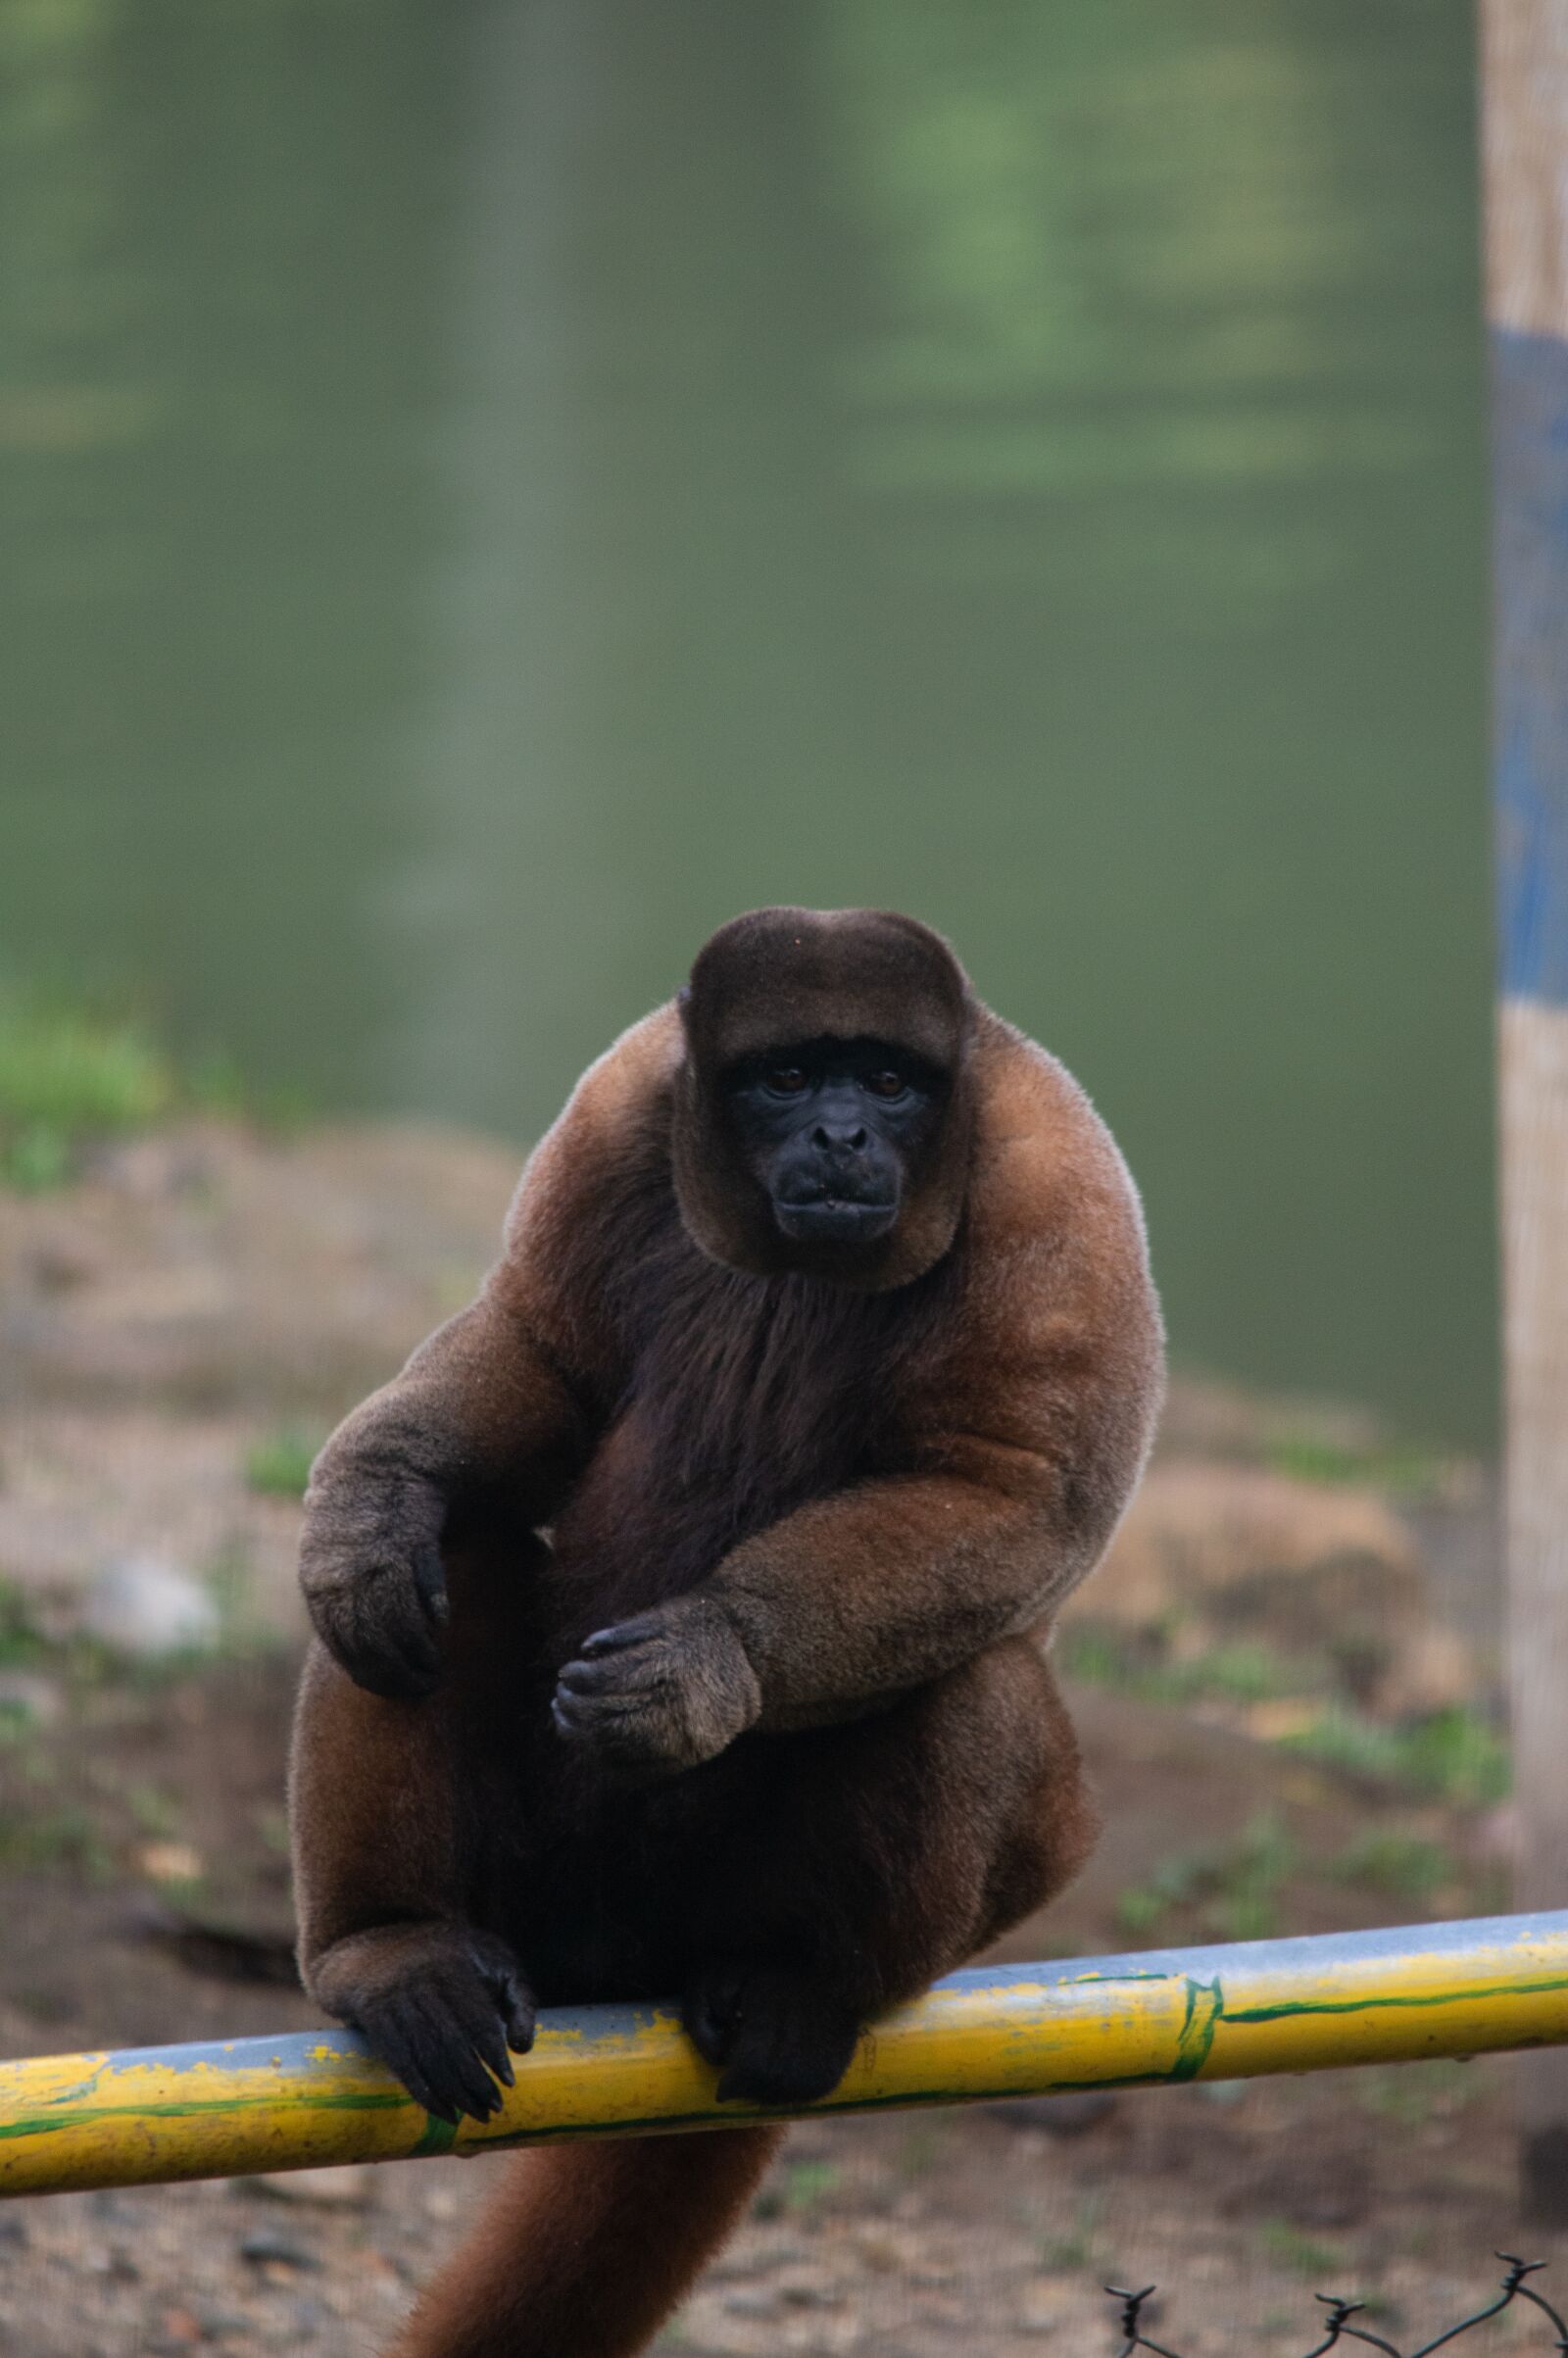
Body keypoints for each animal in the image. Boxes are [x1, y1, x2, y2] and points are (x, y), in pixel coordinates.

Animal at [289, 906, 1164, 2358]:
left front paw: (712, 1660)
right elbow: (542, 1351)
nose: (841, 1136)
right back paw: (390, 1948)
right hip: (542, 1895)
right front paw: (374, 1492)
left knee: (965, 1678)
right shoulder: (621, 1101)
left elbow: (1015, 1493)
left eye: (887, 1083)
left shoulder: (1056, 1177)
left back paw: (809, 1985)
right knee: (427, 1586)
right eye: (786, 1079)